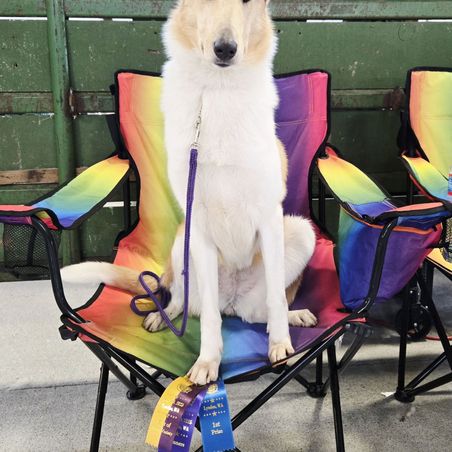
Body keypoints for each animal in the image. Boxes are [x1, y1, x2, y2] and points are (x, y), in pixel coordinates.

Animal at [62, 0, 317, 386]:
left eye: (247, 3)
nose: (225, 49)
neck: (217, 91)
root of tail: (233, 302)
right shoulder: (198, 223)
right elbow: (209, 319)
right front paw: (208, 361)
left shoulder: (270, 218)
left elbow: (276, 299)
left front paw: (281, 345)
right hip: (183, 242)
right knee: (183, 303)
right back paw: (160, 314)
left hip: (300, 230)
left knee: (261, 311)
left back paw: (293, 316)